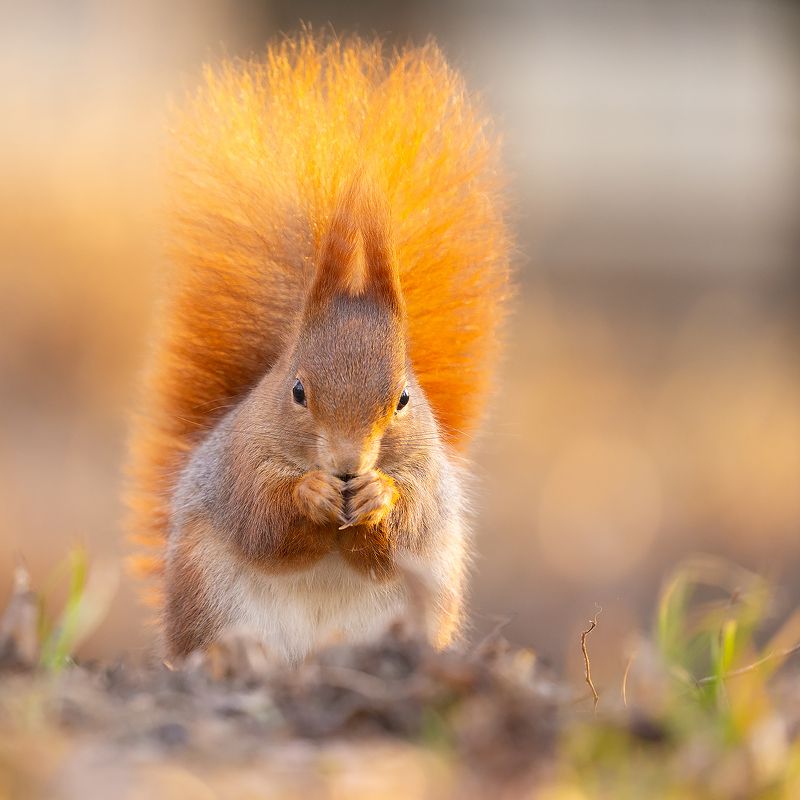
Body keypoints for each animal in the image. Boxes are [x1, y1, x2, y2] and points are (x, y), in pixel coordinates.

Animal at [126, 33, 510, 663]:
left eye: (404, 399)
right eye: (297, 391)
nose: (349, 465)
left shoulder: (428, 481)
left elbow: (401, 537)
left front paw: (379, 495)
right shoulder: (240, 463)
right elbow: (265, 523)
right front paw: (310, 492)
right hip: (206, 592)